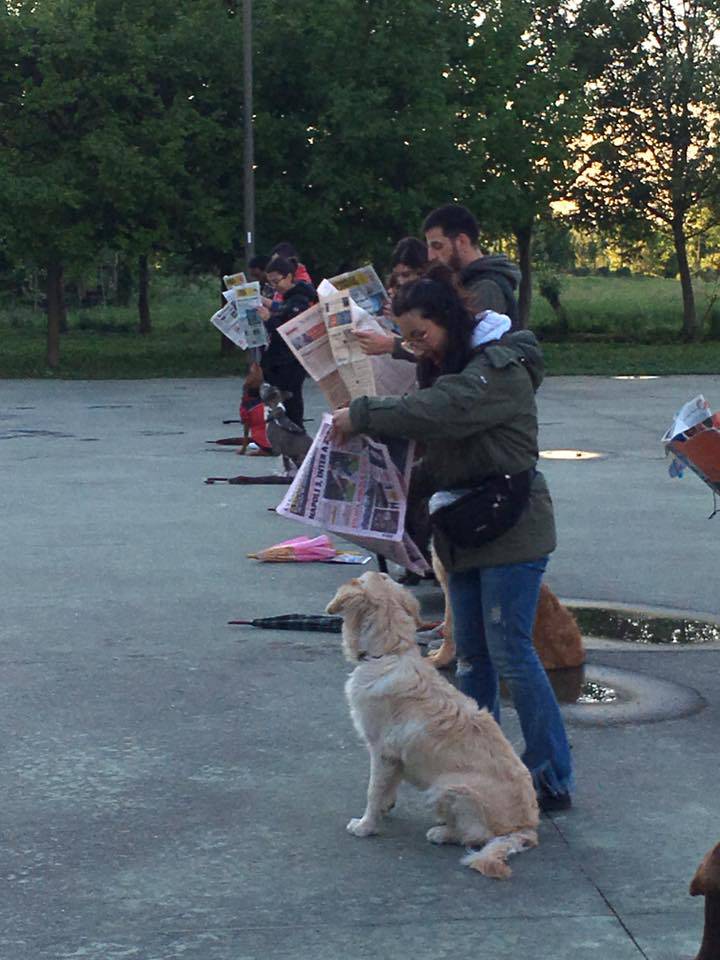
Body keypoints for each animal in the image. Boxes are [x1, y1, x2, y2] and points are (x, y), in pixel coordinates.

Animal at [326, 568, 540, 876]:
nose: (378, 569)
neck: (389, 653)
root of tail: (526, 828)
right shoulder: (395, 758)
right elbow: (387, 787)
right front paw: (385, 808)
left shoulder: (382, 751)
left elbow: (373, 790)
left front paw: (366, 825)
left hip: (448, 786)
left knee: (476, 836)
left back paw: (441, 832)